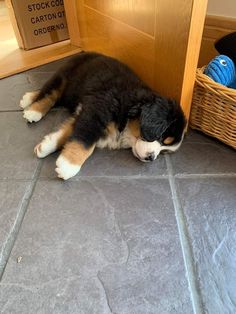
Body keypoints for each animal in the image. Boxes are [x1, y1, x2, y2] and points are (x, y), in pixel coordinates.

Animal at [19, 51, 186, 179]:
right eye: (162, 136)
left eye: (164, 151)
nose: (151, 158)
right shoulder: (97, 113)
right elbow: (85, 142)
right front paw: (68, 165)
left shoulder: (85, 111)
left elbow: (67, 132)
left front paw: (45, 146)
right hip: (64, 76)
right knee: (50, 93)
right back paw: (32, 108)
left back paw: (28, 98)